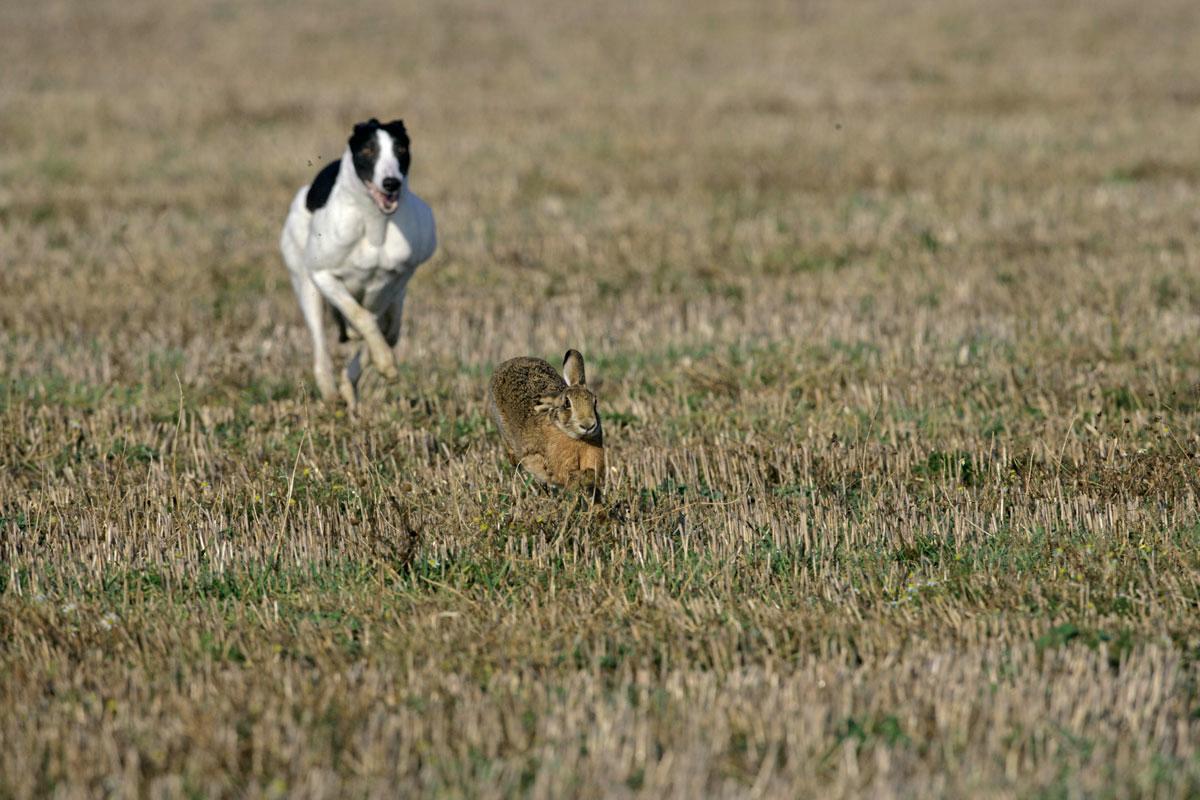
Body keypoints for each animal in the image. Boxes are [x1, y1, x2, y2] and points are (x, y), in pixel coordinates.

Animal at [279, 117, 436, 407]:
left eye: (400, 149)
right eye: (368, 150)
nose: (391, 183)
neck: (374, 224)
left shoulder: (396, 278)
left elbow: (378, 325)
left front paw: (381, 364)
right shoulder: (323, 275)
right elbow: (362, 316)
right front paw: (385, 362)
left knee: (388, 328)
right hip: (305, 286)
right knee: (322, 343)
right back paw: (331, 392)